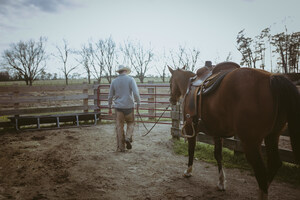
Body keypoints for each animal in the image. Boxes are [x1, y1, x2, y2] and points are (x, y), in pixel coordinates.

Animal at [169, 61, 300, 199]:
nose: (171, 99)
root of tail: (271, 78)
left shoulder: (190, 129)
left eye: (170, 82)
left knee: (261, 172)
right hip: (272, 136)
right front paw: (221, 182)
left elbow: (191, 149)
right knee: (274, 164)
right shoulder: (217, 132)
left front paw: (188, 171)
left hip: (250, 143)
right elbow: (218, 155)